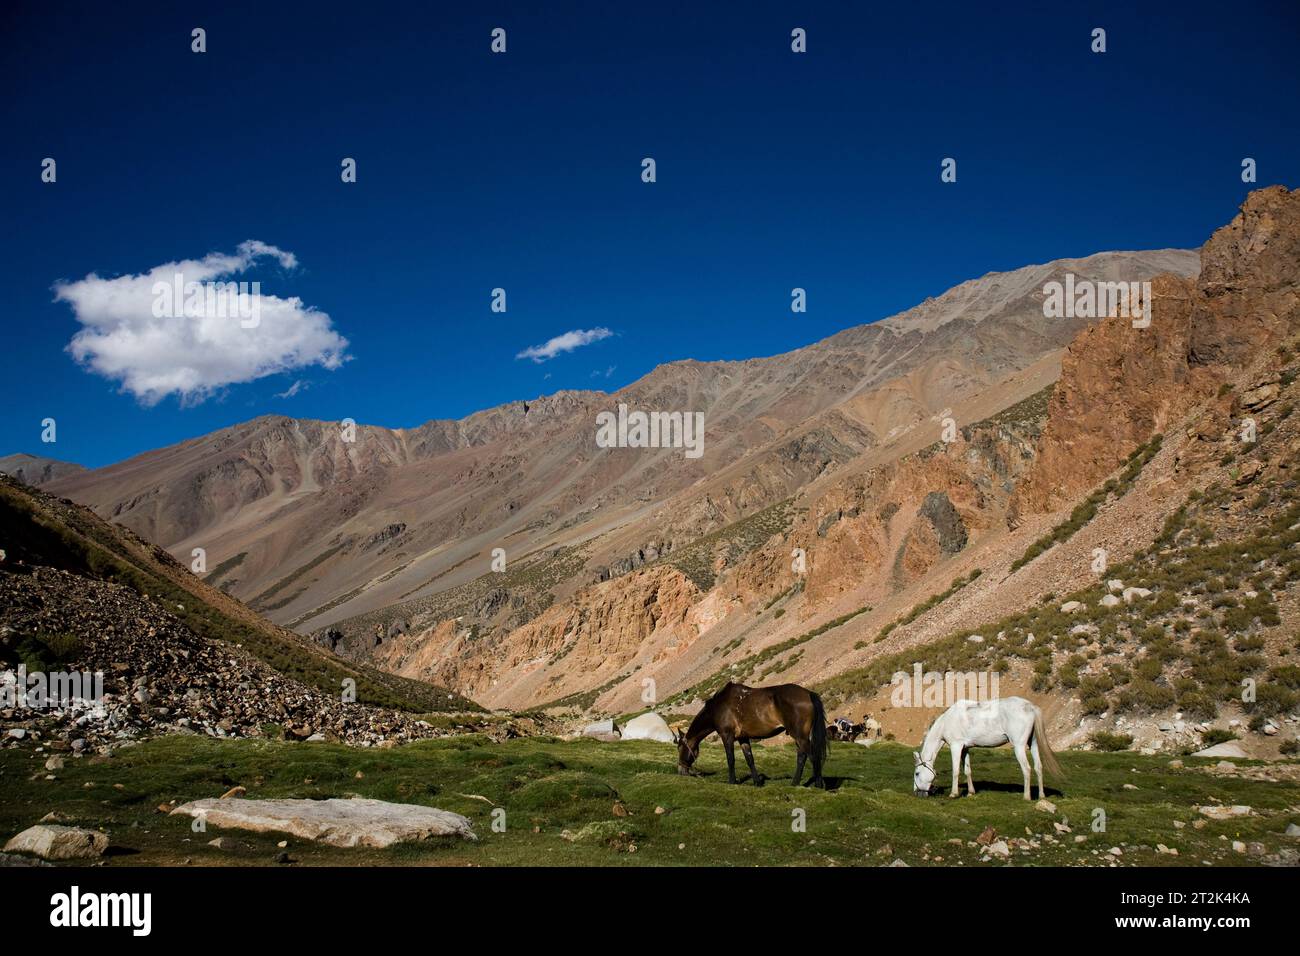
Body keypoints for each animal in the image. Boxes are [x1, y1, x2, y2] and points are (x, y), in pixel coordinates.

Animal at [675, 682, 829, 787]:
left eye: (680, 748)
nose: (680, 771)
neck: (719, 707)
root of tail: (809, 694)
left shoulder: (727, 736)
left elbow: (730, 759)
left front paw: (732, 781)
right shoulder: (743, 738)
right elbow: (749, 759)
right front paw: (757, 782)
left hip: (800, 736)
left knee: (812, 756)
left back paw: (818, 785)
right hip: (798, 737)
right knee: (802, 757)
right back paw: (795, 783)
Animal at [912, 697, 1062, 800]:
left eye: (917, 773)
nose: (916, 793)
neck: (947, 721)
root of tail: (1030, 706)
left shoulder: (956, 747)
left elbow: (955, 771)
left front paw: (954, 794)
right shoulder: (965, 748)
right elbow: (967, 770)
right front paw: (971, 792)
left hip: (1019, 746)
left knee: (1027, 769)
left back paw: (1026, 797)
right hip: (1034, 744)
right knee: (1038, 767)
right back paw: (1041, 796)